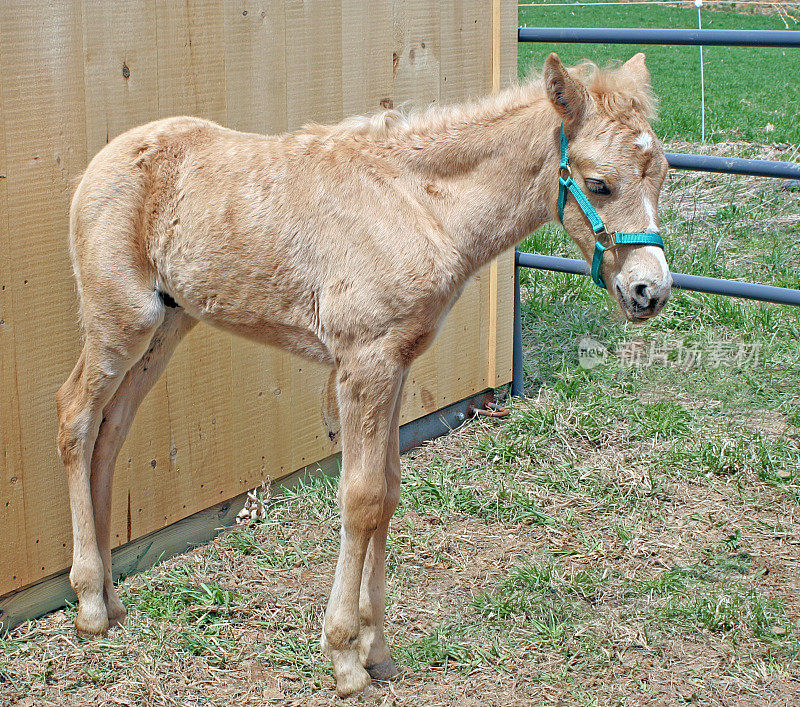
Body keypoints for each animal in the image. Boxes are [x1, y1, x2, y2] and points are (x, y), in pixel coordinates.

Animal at [57, 54, 668, 696]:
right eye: (599, 184)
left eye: (661, 175)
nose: (650, 292)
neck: (418, 206)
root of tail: (103, 159)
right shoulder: (364, 364)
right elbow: (362, 498)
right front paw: (346, 655)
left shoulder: (396, 364)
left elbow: (389, 492)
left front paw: (377, 649)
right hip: (120, 320)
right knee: (76, 417)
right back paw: (89, 604)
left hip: (166, 326)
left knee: (110, 433)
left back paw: (110, 598)